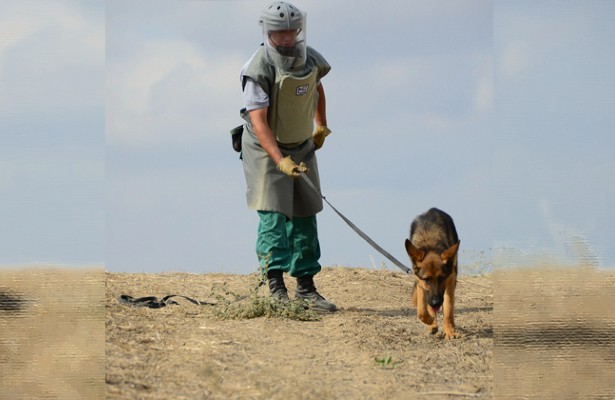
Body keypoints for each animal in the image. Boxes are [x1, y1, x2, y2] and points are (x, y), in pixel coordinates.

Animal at [404, 208, 462, 340]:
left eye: (442, 278)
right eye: (427, 279)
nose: (436, 303)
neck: (430, 244)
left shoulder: (450, 279)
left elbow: (448, 308)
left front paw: (450, 331)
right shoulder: (420, 282)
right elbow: (421, 311)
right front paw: (430, 321)